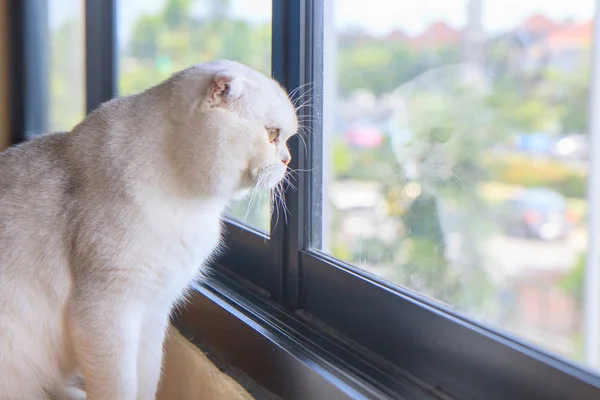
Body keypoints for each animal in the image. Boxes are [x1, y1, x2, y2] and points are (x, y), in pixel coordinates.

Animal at [0, 60, 298, 400]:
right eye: (273, 134)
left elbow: (147, 377)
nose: (288, 160)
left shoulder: (154, 312)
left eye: (285, 138)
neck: (194, 206)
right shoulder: (108, 312)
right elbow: (118, 387)